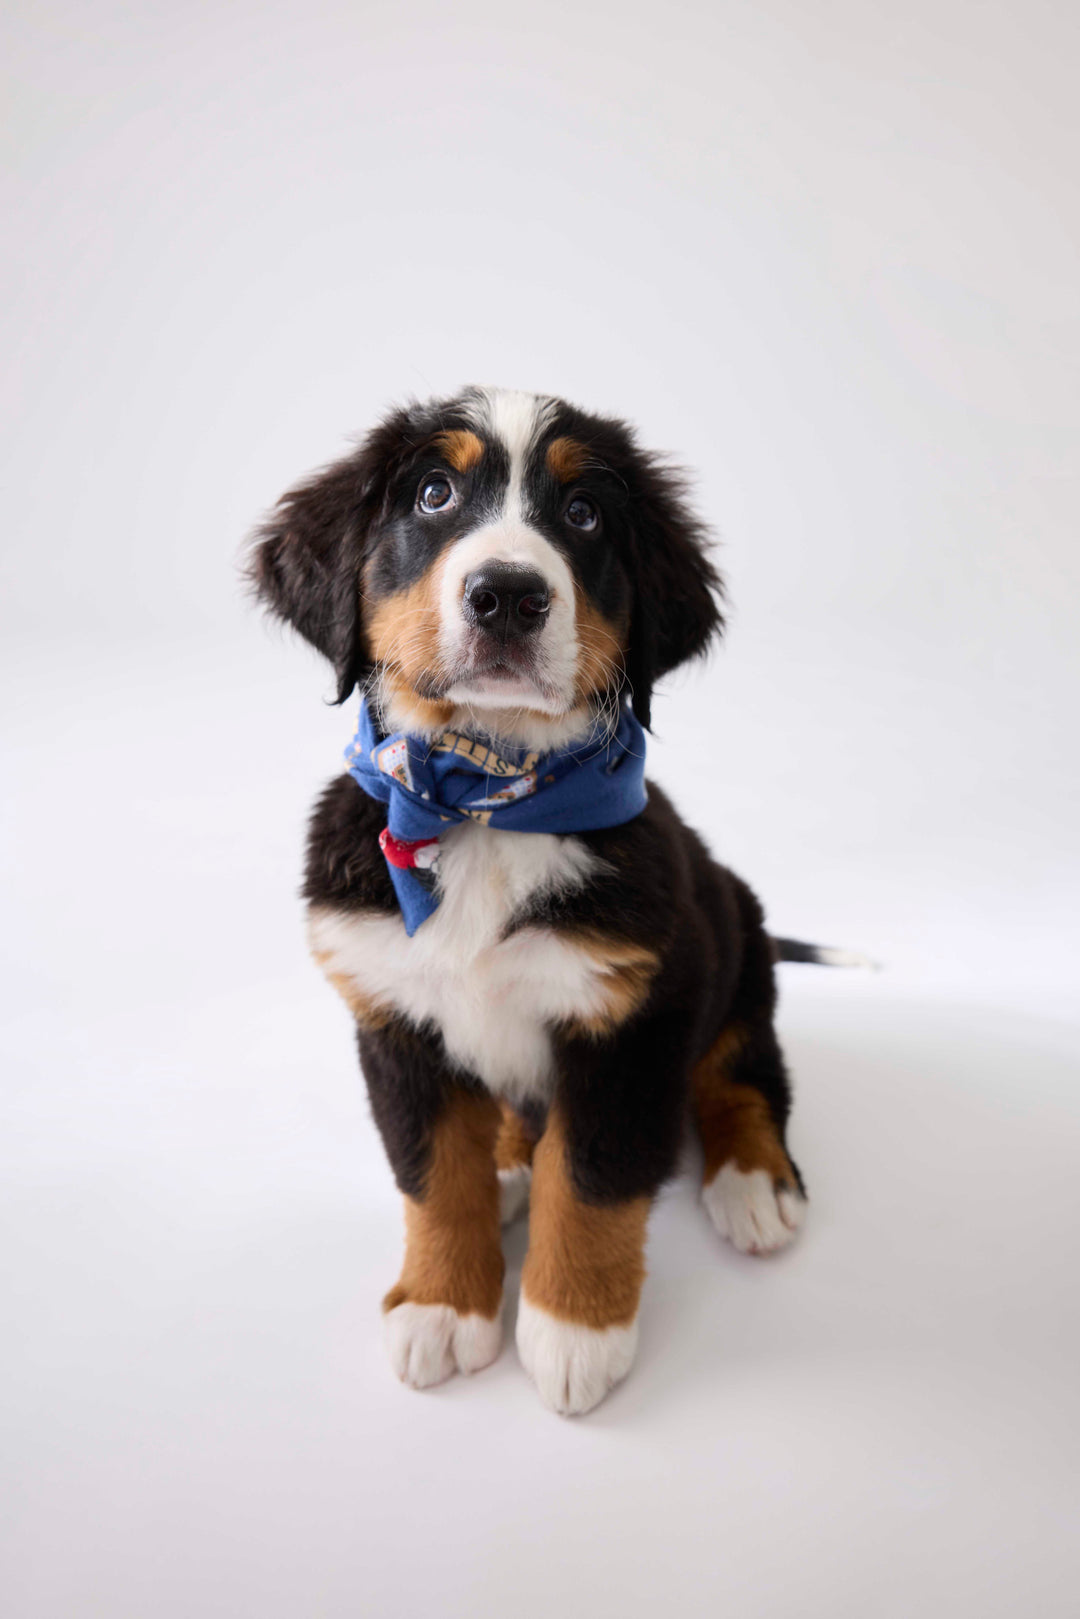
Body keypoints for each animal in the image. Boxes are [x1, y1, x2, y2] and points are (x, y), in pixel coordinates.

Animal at [249, 385, 809, 1411]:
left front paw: (573, 1330)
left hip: (736, 947)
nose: (507, 594)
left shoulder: (631, 1022)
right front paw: (443, 1303)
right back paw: (510, 1158)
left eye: (583, 515)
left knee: (745, 1070)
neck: (483, 801)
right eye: (433, 494)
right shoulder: (392, 1014)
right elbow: (433, 1173)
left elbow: (590, 1179)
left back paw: (753, 1183)